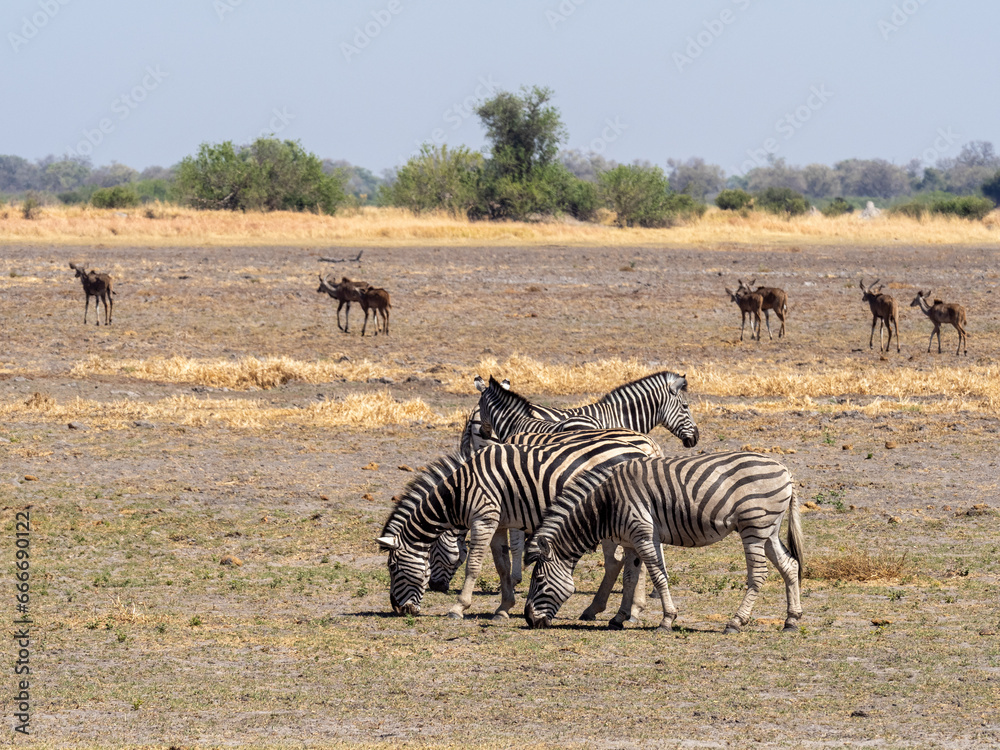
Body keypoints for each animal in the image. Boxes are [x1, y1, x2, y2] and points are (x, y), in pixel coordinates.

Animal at [376, 435, 662, 621]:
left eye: (393, 567)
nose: (397, 609)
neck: (460, 489)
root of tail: (643, 452)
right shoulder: (498, 523)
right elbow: (502, 566)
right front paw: (503, 608)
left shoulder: (484, 518)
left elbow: (474, 566)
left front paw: (458, 608)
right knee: (623, 561)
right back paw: (605, 611)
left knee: (624, 561)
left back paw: (628, 611)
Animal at [524, 451, 804, 634]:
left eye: (539, 580)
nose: (528, 620)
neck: (606, 503)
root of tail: (786, 471)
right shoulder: (630, 542)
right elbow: (630, 578)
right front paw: (618, 618)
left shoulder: (643, 534)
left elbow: (658, 576)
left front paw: (666, 620)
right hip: (769, 530)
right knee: (789, 565)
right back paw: (791, 621)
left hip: (754, 526)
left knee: (758, 574)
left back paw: (735, 622)